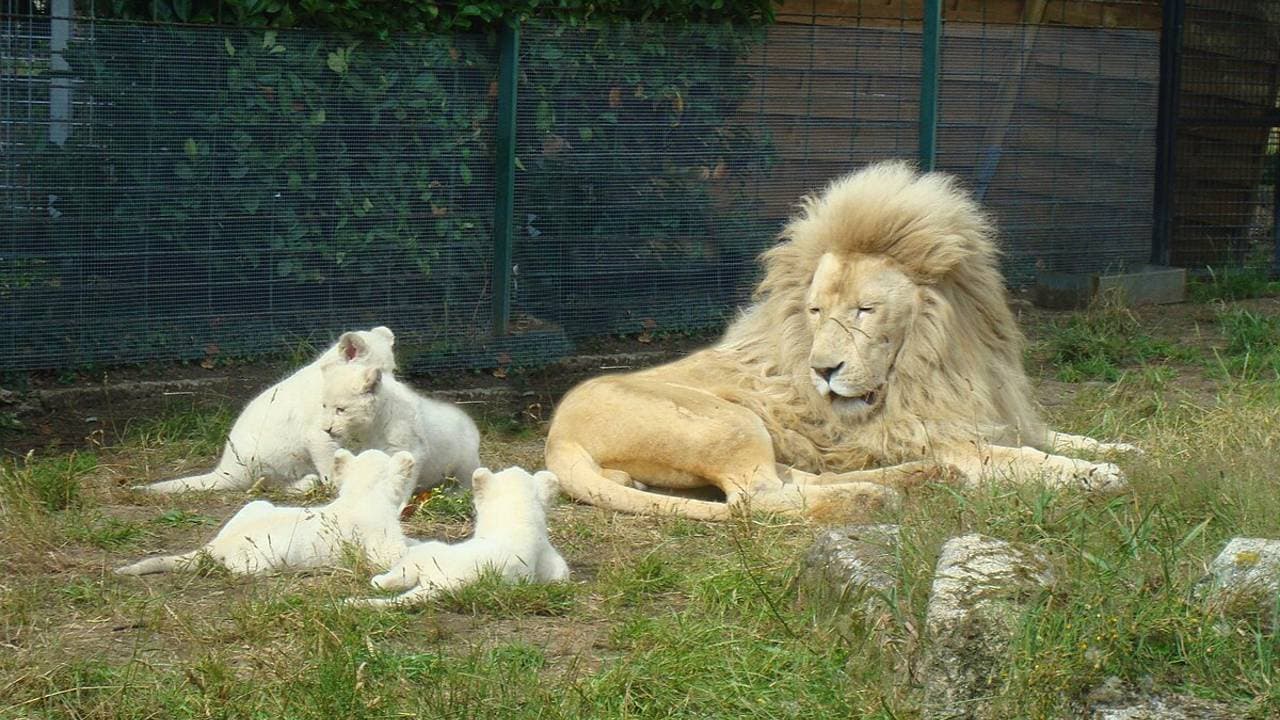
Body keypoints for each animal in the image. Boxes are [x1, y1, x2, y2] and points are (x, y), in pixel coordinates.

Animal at [545, 161, 1136, 520]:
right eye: (815, 312)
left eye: (864, 310)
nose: (822, 371)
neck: (937, 358)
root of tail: (557, 437)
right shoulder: (939, 435)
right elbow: (1027, 459)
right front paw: (1094, 474)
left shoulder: (983, 413)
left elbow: (1051, 435)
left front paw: (1119, 448)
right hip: (727, 420)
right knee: (757, 498)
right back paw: (873, 493)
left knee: (791, 480)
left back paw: (910, 479)